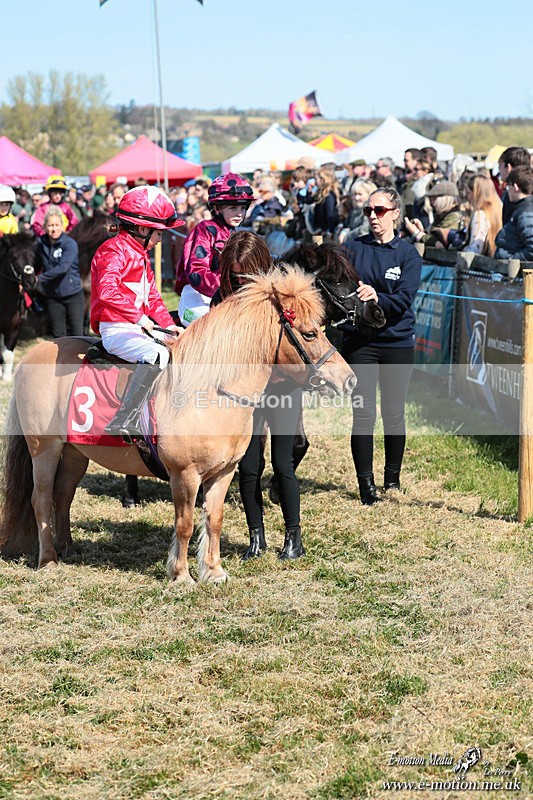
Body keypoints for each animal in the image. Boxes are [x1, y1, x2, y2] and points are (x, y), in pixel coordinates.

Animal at [0, 232, 37, 382]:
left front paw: (6, 378)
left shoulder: (14, 328)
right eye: (14, 257)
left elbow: (8, 355)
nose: (31, 281)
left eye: (33, 256)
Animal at [0, 267, 355, 582]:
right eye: (309, 333)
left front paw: (214, 572)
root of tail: (32, 355)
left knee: (64, 495)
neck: (211, 392)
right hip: (44, 449)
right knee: (41, 499)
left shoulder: (223, 473)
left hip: (75, 452)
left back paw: (68, 550)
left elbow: (214, 520)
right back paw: (48, 561)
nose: (348, 380)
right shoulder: (185, 476)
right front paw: (181, 575)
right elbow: (184, 524)